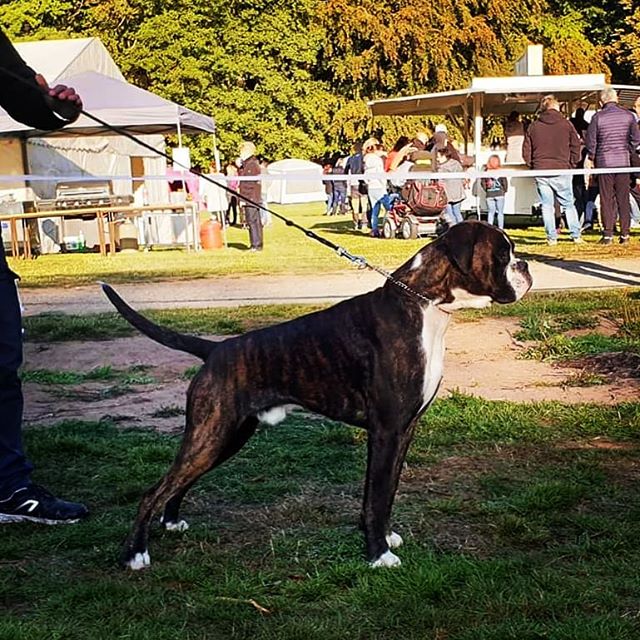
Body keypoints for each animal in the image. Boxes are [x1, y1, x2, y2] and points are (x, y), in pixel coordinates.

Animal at [101, 221, 528, 568]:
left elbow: (386, 491)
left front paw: (384, 537)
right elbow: (376, 495)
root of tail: (216, 349)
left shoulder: (404, 431)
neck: (423, 303)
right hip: (212, 435)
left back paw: (171, 522)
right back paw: (135, 554)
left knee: (178, 484)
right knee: (154, 491)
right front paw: (377, 555)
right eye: (503, 253)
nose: (524, 265)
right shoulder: (386, 431)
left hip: (225, 437)